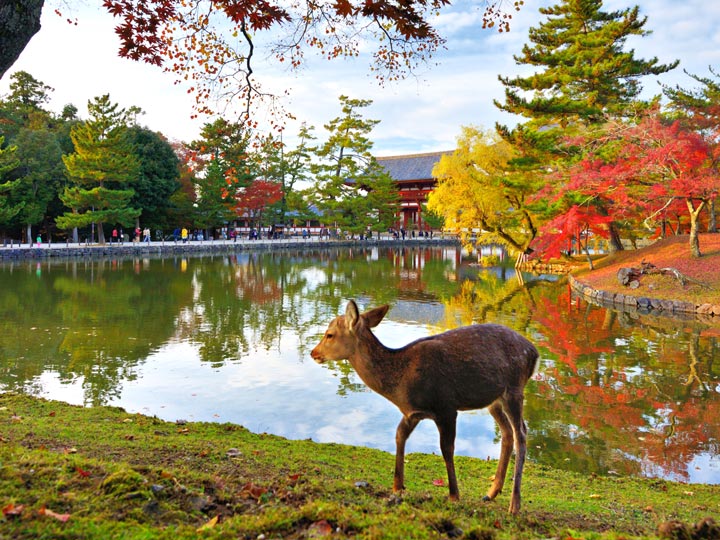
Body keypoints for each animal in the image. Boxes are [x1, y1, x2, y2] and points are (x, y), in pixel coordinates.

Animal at [310, 300, 540, 516]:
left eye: (329, 334)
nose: (314, 353)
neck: (401, 383)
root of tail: (534, 353)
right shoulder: (412, 413)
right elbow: (399, 435)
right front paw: (397, 486)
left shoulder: (446, 406)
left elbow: (446, 448)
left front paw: (454, 495)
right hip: (494, 400)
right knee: (507, 432)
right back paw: (491, 493)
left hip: (514, 388)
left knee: (521, 433)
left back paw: (514, 504)